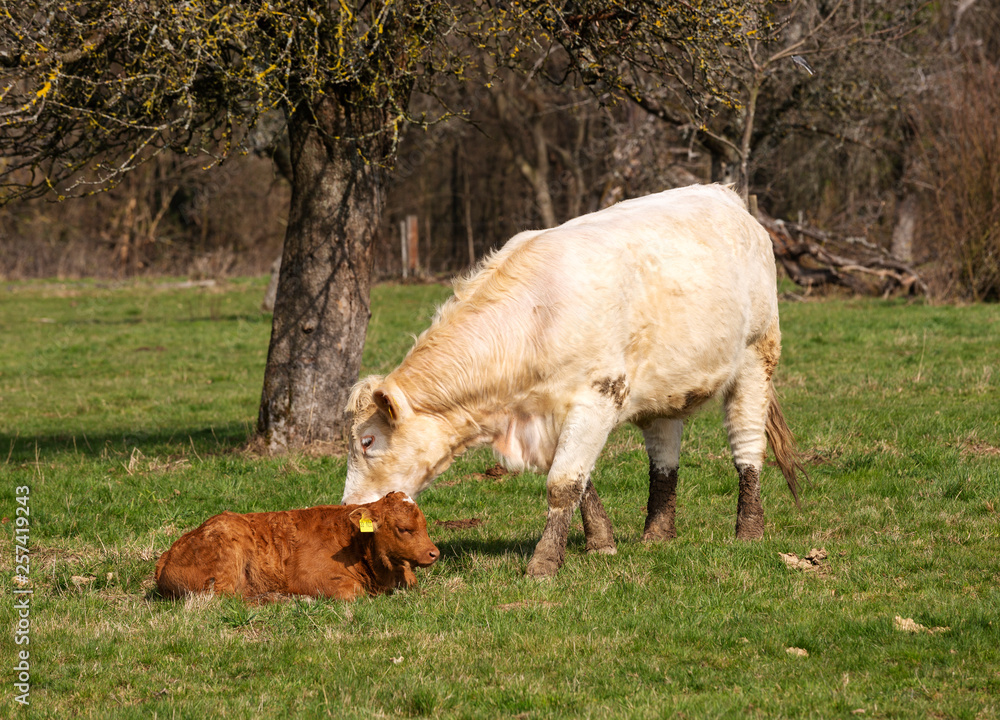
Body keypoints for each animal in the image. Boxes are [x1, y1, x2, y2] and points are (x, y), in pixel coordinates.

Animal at [154, 492, 439, 601]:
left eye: (425, 525)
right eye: (404, 528)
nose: (434, 553)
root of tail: (167, 554)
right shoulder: (309, 577)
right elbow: (352, 590)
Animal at [342, 184, 800, 578]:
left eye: (368, 441)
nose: (348, 510)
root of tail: (726, 196)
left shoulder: (597, 397)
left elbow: (563, 484)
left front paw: (544, 562)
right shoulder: (546, 416)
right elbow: (579, 479)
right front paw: (601, 541)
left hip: (756, 359)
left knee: (747, 445)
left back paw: (749, 530)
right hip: (665, 385)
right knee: (664, 458)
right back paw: (657, 535)